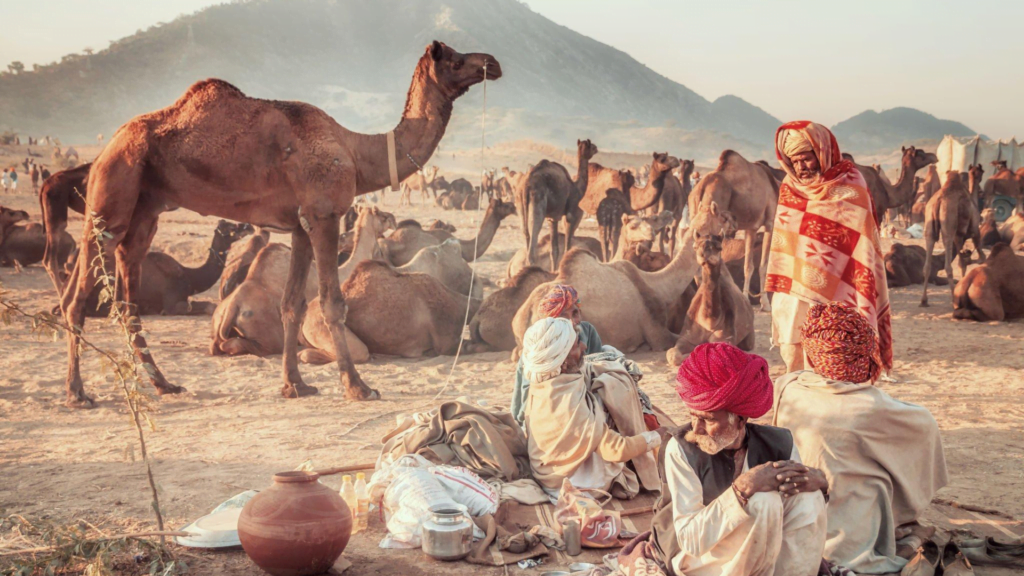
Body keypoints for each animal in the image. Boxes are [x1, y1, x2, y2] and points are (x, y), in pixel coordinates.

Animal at [59, 40, 499, 405]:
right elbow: (331, 303)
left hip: (145, 210)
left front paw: (295, 385)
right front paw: (358, 387)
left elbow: (292, 304)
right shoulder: (324, 215)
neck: (357, 153)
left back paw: (163, 384)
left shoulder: (300, 225)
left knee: (127, 295)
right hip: (111, 195)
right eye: (455, 59)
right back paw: (78, 393)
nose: (492, 63)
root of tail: (107, 147)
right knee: (78, 298)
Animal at [524, 138, 598, 268]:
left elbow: (554, 250)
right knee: (534, 230)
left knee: (526, 232)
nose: (597, 148)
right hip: (538, 199)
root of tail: (528, 183)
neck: (576, 188)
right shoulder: (571, 213)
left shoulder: (552, 218)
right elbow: (567, 247)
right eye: (591, 146)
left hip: (521, 203)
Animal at [667, 231, 757, 362]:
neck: (709, 321)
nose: (703, 254)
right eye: (695, 247)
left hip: (749, 335)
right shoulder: (686, 338)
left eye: (719, 247)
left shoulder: (725, 338)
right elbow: (672, 354)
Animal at [921, 169, 983, 307]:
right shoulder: (974, 231)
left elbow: (962, 263)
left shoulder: (960, 236)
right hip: (948, 228)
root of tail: (938, 201)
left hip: (929, 227)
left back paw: (924, 301)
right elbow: (979, 259)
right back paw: (955, 300)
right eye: (982, 172)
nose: (982, 190)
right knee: (948, 266)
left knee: (927, 264)